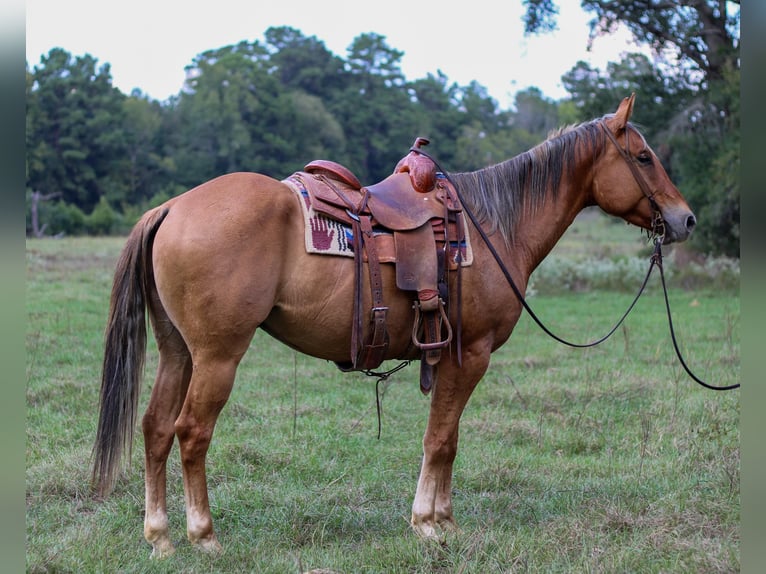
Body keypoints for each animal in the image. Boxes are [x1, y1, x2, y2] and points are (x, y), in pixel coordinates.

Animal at [90, 94, 696, 560]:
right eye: (644, 156)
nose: (684, 218)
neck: (494, 224)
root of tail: (172, 207)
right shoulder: (471, 354)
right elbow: (441, 439)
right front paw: (429, 523)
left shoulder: (450, 356)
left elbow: (446, 439)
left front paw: (443, 519)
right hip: (217, 356)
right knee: (192, 432)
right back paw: (204, 536)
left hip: (179, 353)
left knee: (155, 429)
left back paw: (160, 537)